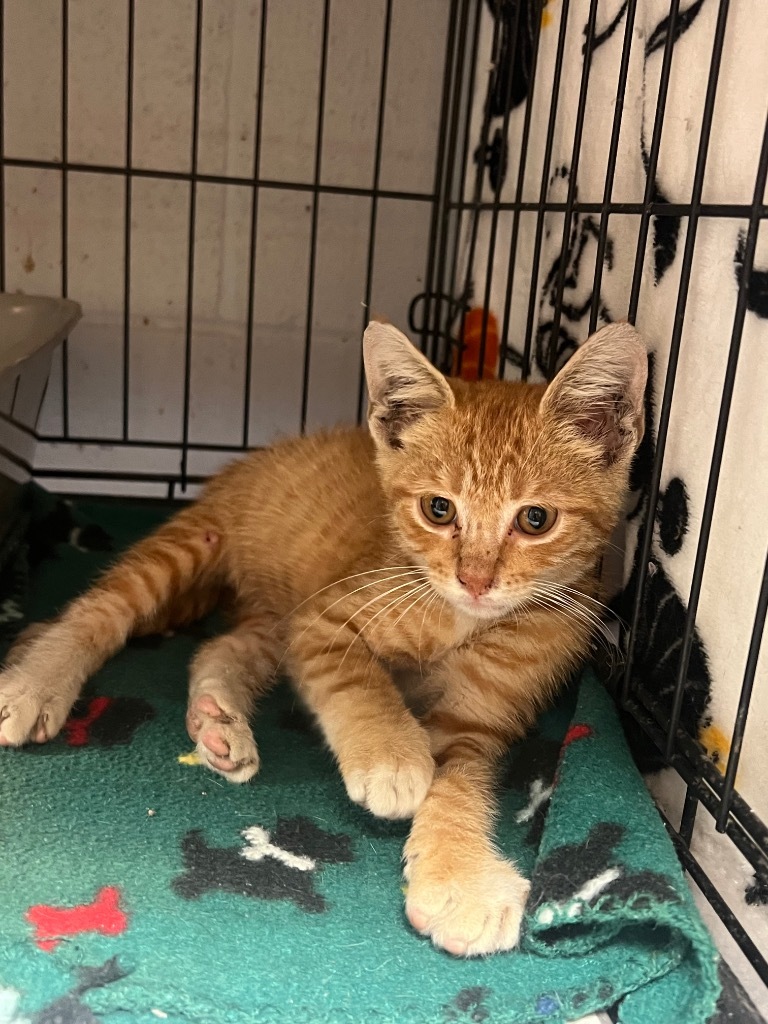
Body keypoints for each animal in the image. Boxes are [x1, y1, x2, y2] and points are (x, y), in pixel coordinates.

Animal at [0, 317, 651, 950]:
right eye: (438, 510)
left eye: (536, 519)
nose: (474, 579)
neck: (461, 619)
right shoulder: (322, 616)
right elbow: (360, 681)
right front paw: (390, 756)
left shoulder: (478, 718)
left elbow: (461, 777)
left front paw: (461, 875)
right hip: (195, 546)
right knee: (96, 611)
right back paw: (34, 682)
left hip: (271, 618)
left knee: (221, 645)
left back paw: (216, 721)